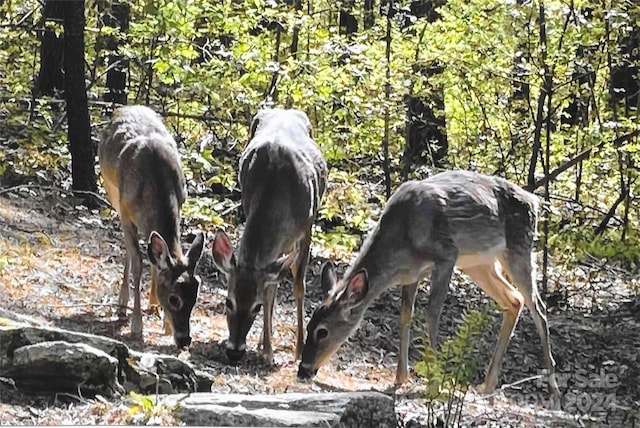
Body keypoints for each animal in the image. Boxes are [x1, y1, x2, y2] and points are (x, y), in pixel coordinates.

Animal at [99, 105, 204, 350]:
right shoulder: (126, 212)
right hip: (113, 196)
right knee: (130, 252)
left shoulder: (181, 204)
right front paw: (137, 325)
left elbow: (158, 259)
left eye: (195, 299)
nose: (185, 340)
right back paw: (122, 305)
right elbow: (138, 263)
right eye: (174, 298)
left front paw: (164, 322)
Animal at [212, 108, 328, 364]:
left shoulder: (307, 228)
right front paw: (266, 348)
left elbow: (297, 286)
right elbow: (270, 289)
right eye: (228, 301)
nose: (234, 351)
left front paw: (298, 349)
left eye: (255, 307)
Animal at [298, 169, 560, 410]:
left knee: (539, 307)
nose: (303, 370)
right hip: (479, 263)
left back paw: (553, 393)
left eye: (322, 332)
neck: (403, 239)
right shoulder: (411, 274)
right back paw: (487, 385)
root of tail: (534, 200)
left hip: (518, 248)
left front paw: (433, 384)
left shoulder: (446, 255)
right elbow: (405, 315)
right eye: (308, 325)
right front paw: (400, 378)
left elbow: (432, 313)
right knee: (514, 299)